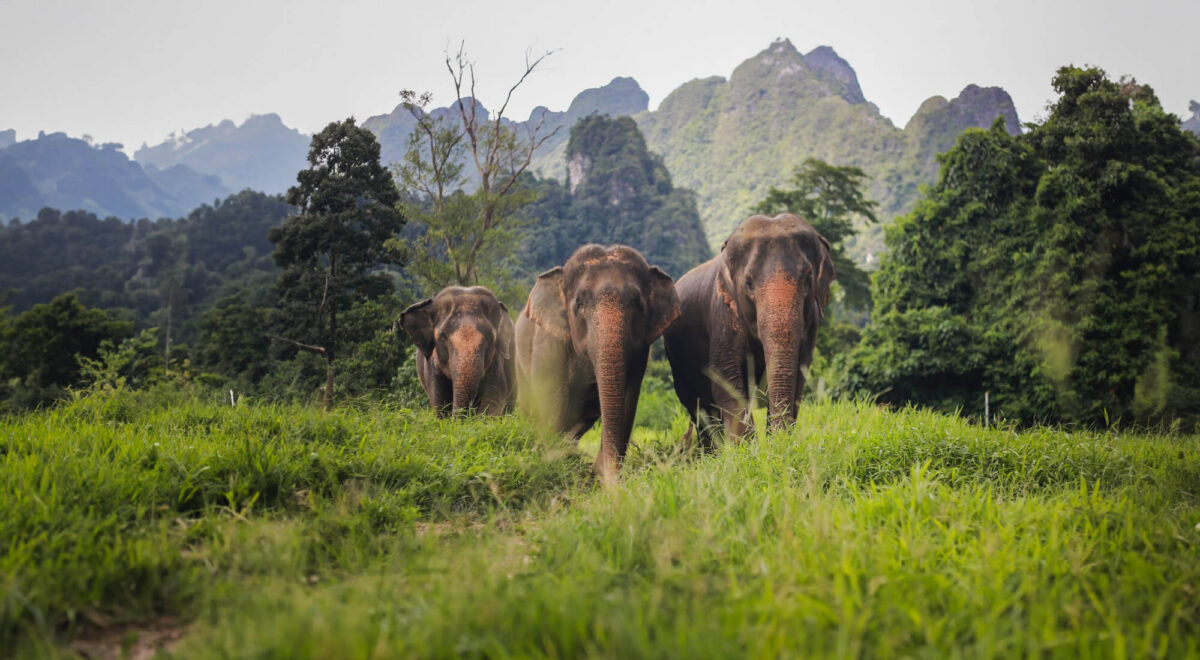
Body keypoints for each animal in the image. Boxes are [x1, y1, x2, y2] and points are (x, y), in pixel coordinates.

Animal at [515, 244, 680, 481]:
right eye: (579, 304)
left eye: (638, 303)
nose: (604, 477)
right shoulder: (549, 346)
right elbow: (552, 401)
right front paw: (555, 466)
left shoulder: (641, 352)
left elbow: (628, 399)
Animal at [663, 213, 834, 441]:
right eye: (749, 283)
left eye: (808, 280)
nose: (778, 438)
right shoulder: (723, 315)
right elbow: (726, 378)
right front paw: (746, 446)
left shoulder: (812, 321)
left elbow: (799, 374)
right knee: (698, 406)